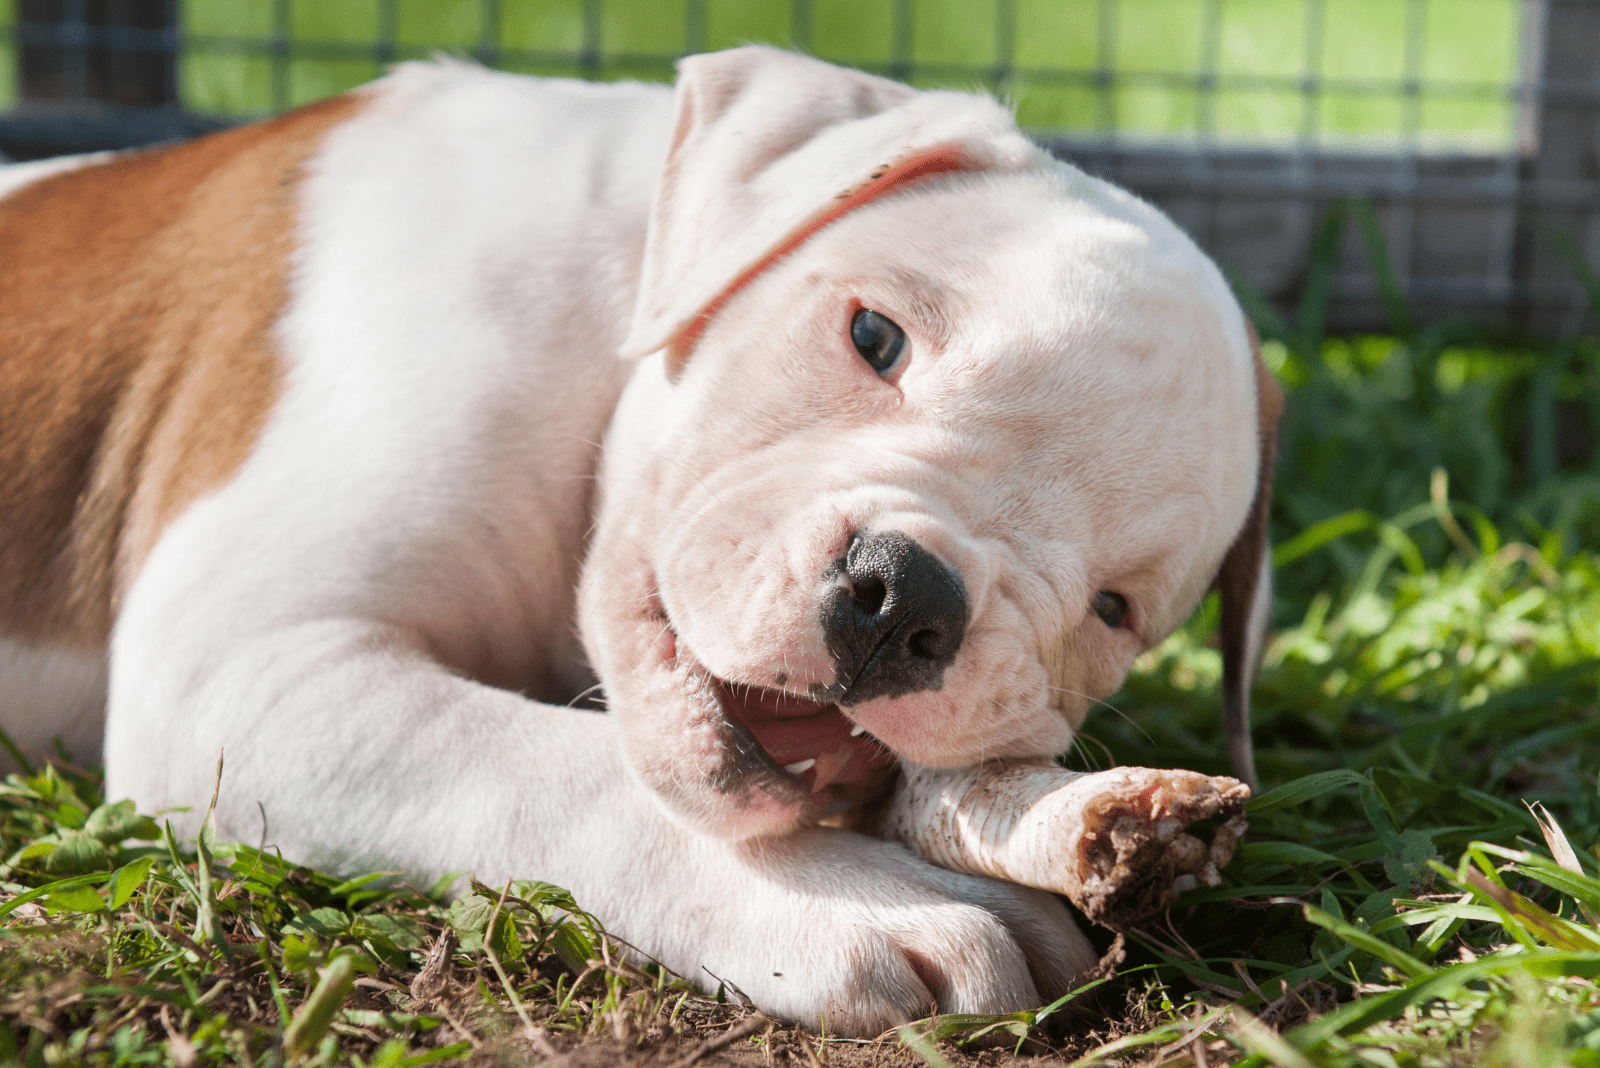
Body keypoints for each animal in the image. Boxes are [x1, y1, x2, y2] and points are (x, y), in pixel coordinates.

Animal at [0, 47, 1273, 1036]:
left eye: (1113, 611)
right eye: (875, 337)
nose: (906, 597)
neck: (626, 278)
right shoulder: (238, 669)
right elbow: (553, 762)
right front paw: (856, 900)